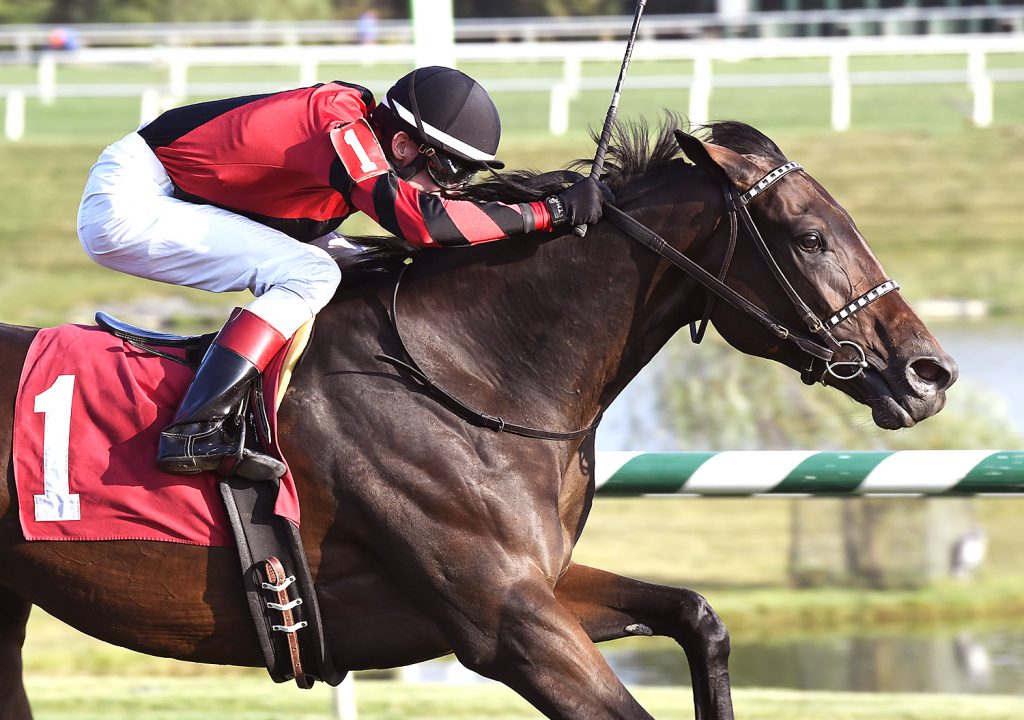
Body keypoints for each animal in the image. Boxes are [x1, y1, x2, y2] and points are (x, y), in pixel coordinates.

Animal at [2, 119, 958, 720]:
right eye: (810, 237)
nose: (931, 372)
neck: (472, 378)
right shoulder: (505, 624)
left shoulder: (539, 585)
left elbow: (695, 615)